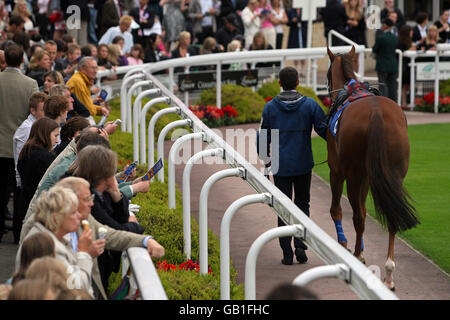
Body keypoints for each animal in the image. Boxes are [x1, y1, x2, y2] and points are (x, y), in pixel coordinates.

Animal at [326, 47, 418, 290]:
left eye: (327, 74)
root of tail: (376, 113)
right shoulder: (369, 176)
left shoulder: (337, 171)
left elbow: (337, 209)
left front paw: (345, 244)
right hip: (394, 174)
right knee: (392, 216)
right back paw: (389, 273)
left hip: (353, 174)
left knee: (357, 215)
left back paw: (358, 257)